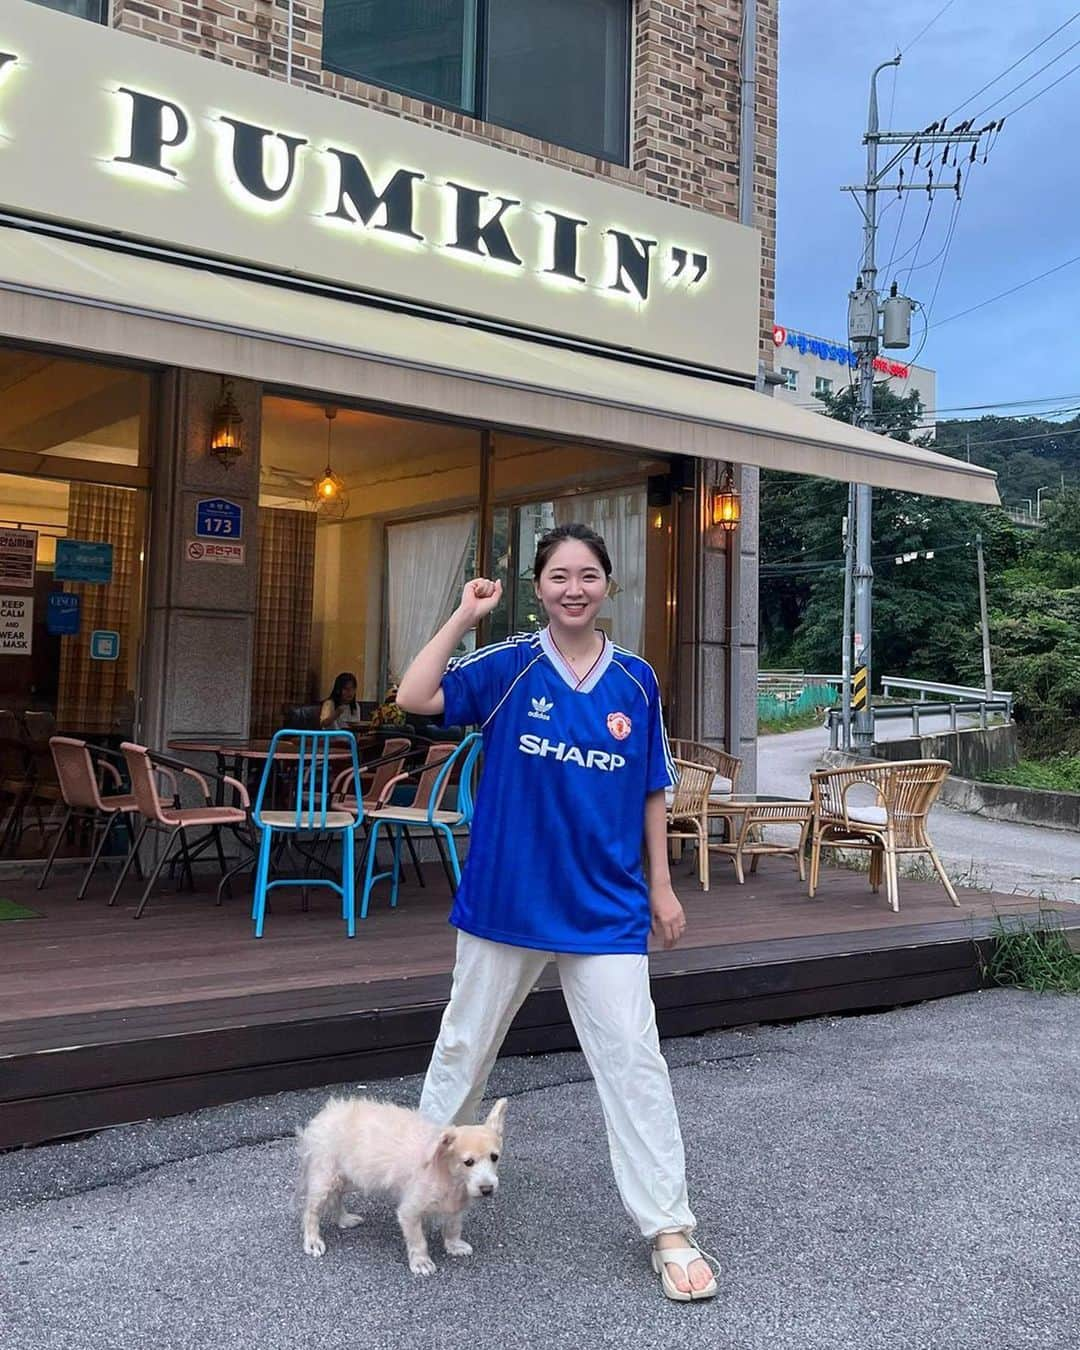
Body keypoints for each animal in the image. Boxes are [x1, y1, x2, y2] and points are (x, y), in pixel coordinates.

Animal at [295, 1096, 507, 1274]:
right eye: (468, 1162)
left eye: (494, 1157)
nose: (487, 1189)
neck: (449, 1176)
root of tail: (324, 1114)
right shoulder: (409, 1211)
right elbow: (418, 1240)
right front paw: (421, 1262)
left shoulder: (456, 1207)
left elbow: (453, 1226)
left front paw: (454, 1245)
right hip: (326, 1178)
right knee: (311, 1211)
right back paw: (313, 1240)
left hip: (351, 1177)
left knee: (336, 1195)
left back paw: (344, 1218)